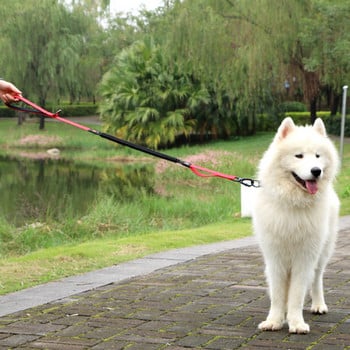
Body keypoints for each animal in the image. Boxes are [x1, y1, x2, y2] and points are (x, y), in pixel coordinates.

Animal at [253, 117, 340, 334]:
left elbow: (297, 294)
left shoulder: (305, 257)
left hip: (322, 252)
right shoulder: (275, 257)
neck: (294, 202)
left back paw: (318, 305)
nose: (316, 171)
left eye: (317, 156)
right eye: (298, 156)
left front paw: (296, 323)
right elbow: (277, 294)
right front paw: (274, 321)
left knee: (317, 279)